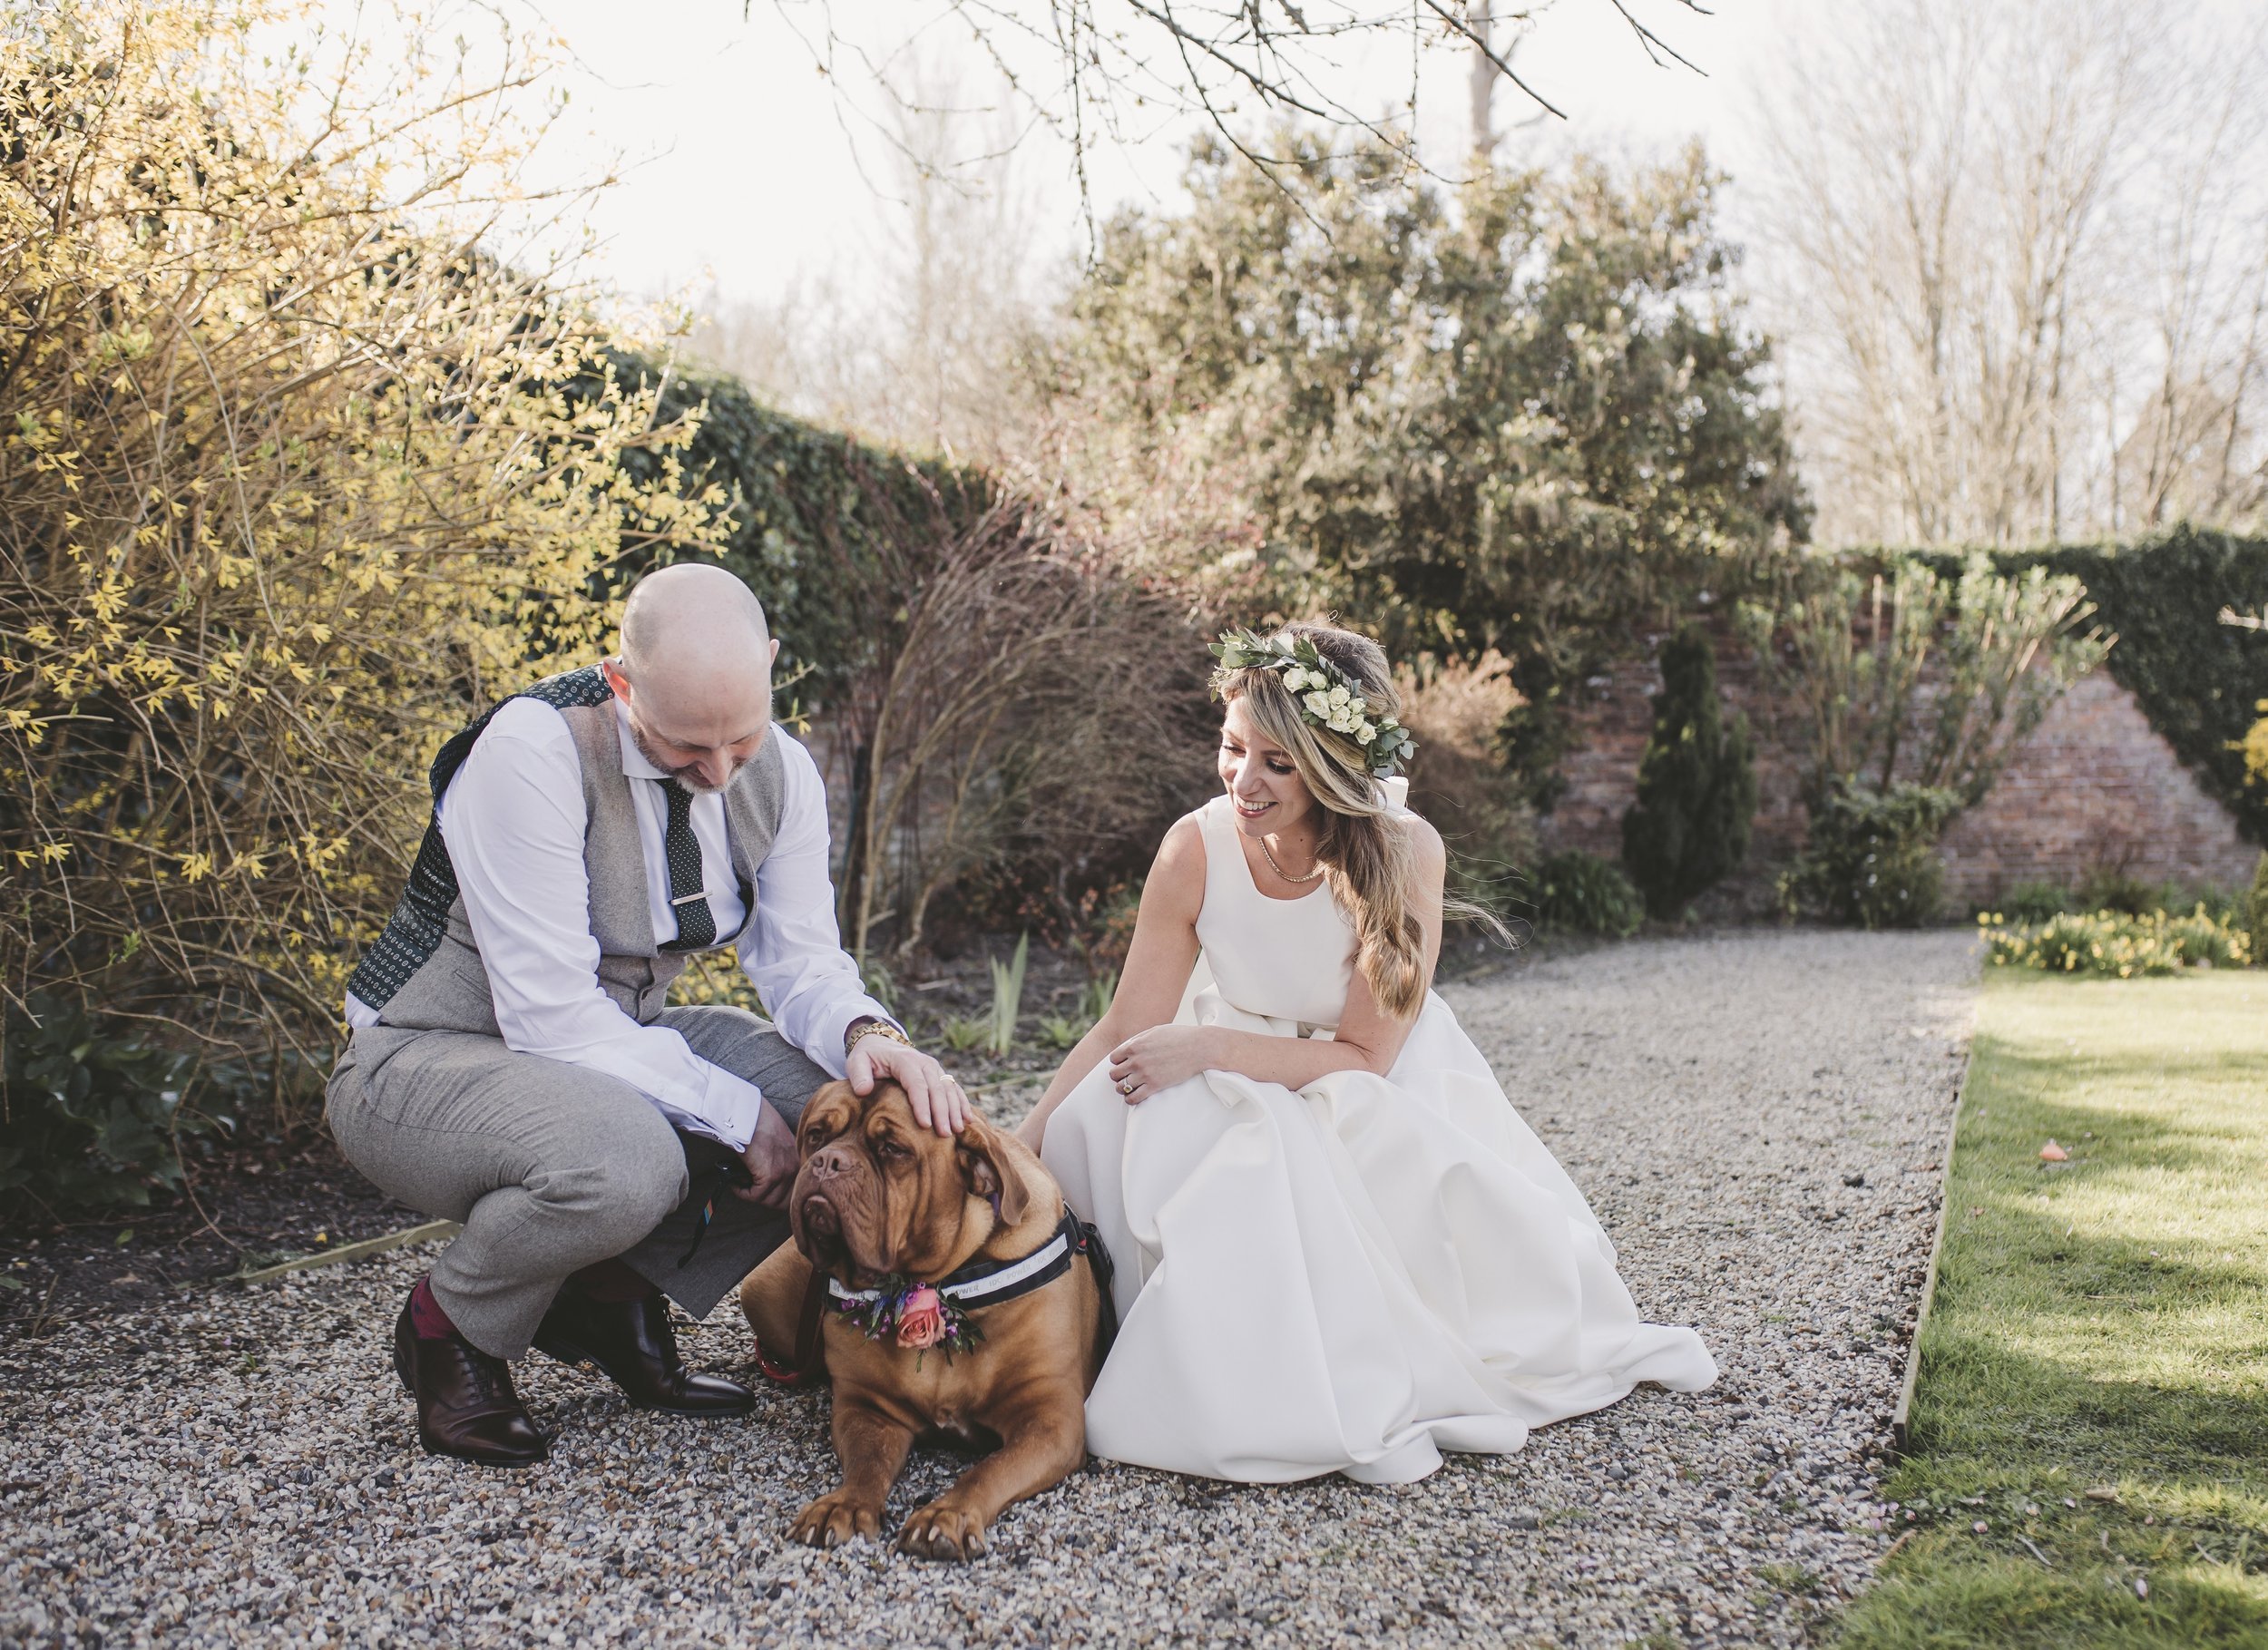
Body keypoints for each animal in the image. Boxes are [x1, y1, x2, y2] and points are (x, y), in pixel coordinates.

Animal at [735, 1083, 1107, 1559]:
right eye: (816, 1135)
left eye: (893, 1149)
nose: (827, 1161)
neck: (935, 1284)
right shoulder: (869, 1409)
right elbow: (867, 1465)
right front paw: (844, 1505)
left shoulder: (1049, 1421)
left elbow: (990, 1470)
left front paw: (946, 1515)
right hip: (760, 1294)